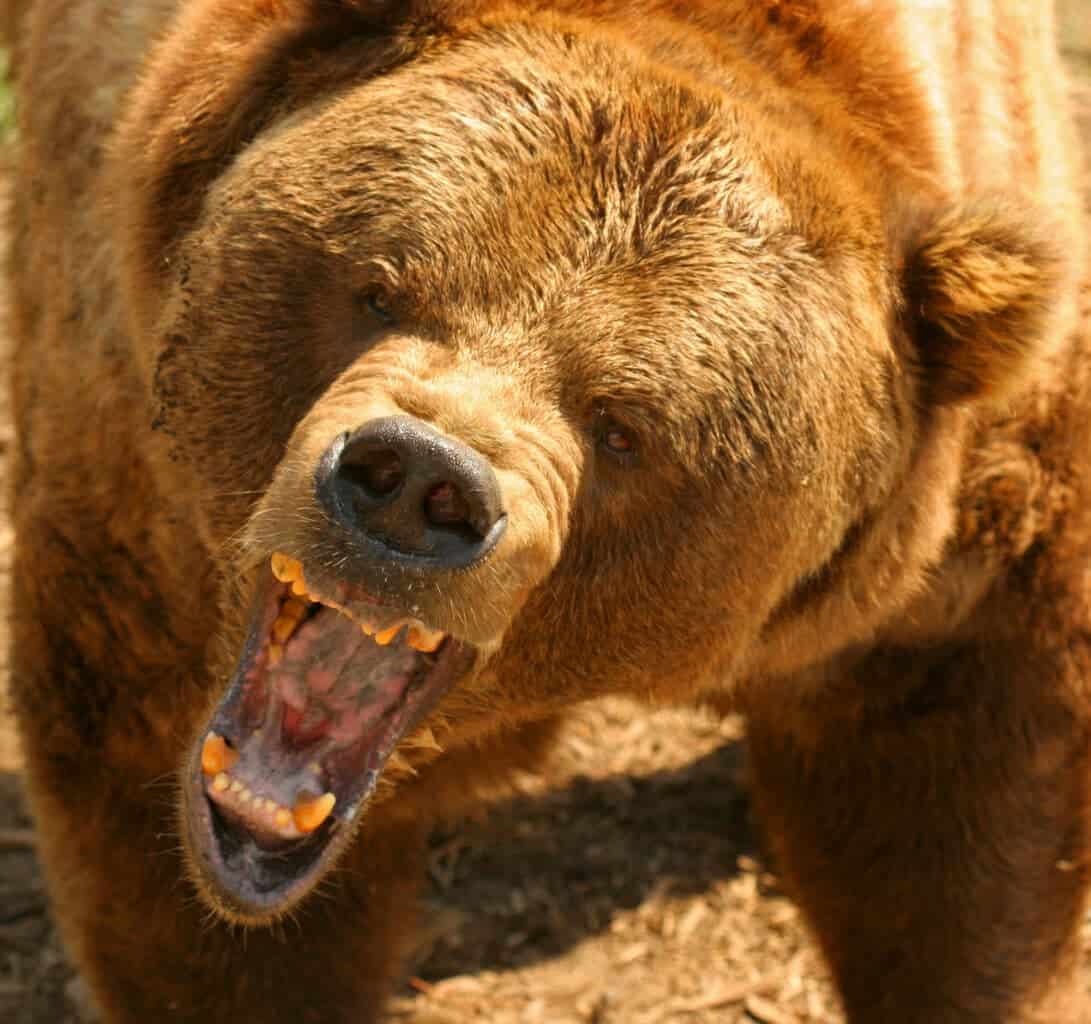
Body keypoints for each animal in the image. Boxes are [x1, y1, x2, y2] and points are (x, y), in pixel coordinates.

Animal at [4, 0, 1090, 1021]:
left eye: (622, 426)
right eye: (378, 288)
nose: (415, 483)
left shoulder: (954, 534)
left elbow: (951, 804)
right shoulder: (132, 490)